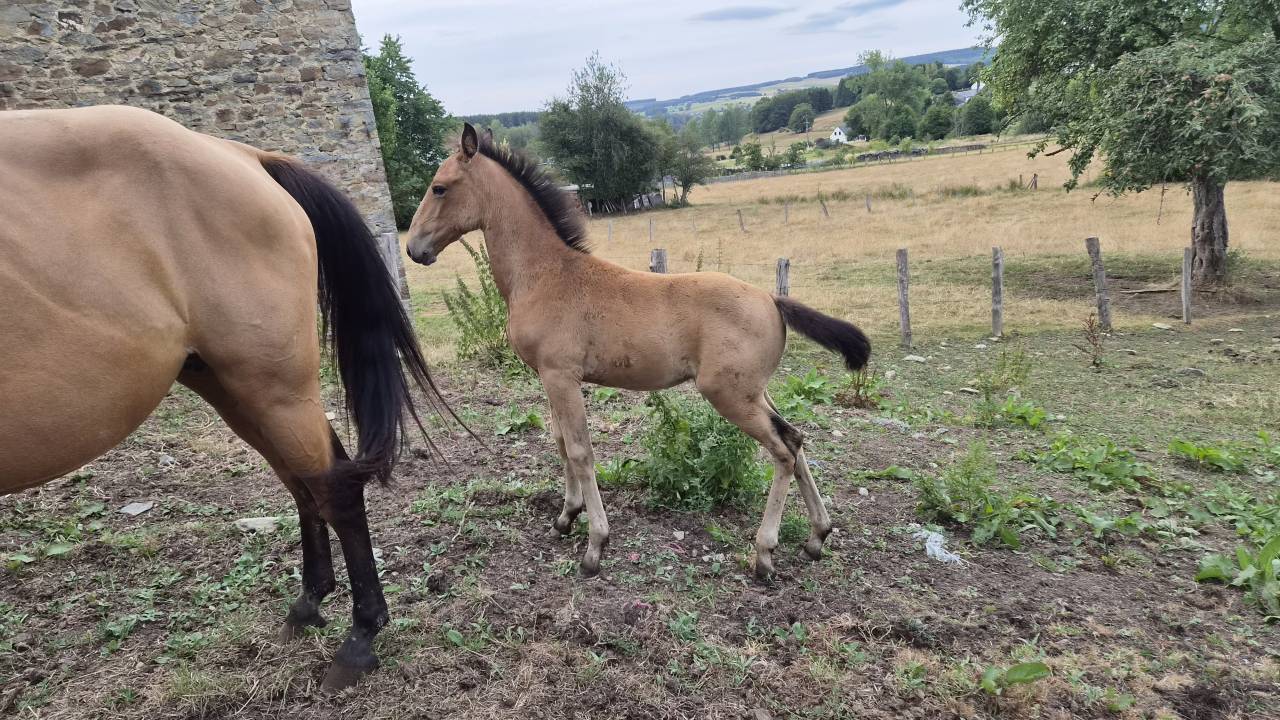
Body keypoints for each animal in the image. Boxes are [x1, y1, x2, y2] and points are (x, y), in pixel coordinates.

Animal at [0, 105, 446, 691]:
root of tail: (244, 155)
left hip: (272, 386)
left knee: (334, 487)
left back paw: (359, 637)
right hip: (232, 387)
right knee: (305, 483)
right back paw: (308, 604)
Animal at [406, 124, 870, 579]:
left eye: (439, 187)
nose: (414, 248)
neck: (544, 275)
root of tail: (772, 299)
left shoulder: (561, 376)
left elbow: (580, 450)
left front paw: (595, 545)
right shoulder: (548, 376)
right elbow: (560, 441)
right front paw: (565, 516)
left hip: (729, 395)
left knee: (783, 452)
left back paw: (765, 553)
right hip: (756, 392)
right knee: (796, 438)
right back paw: (816, 537)